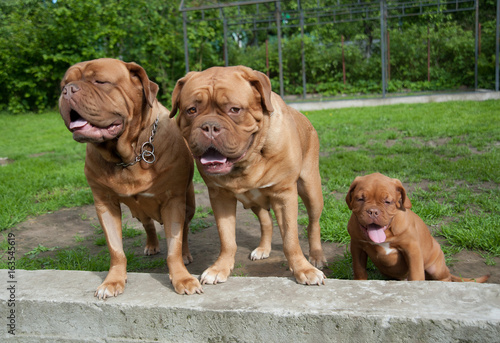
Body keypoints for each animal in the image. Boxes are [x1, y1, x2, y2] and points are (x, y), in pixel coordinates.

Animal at [60, 57, 203, 296]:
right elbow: (115, 249)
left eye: (100, 81)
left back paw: (185, 253)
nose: (68, 90)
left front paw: (182, 278)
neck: (129, 154)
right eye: (63, 84)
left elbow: (173, 247)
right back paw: (151, 244)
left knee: (183, 231)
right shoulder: (104, 204)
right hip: (140, 211)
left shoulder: (173, 200)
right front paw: (112, 281)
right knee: (148, 224)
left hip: (188, 204)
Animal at [171, 66, 328, 286]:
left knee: (313, 224)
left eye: (234, 109)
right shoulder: (220, 197)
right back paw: (263, 249)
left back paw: (317, 256)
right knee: (266, 221)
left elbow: (290, 239)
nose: (209, 126)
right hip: (255, 200)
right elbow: (227, 238)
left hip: (311, 189)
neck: (248, 161)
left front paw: (303, 269)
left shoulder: (284, 194)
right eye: (191, 110)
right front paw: (219, 268)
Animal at [348, 173, 488, 284]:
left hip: (436, 267)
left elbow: (416, 275)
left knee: (445, 278)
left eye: (387, 202)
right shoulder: (357, 246)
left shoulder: (412, 248)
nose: (373, 211)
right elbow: (359, 270)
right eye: (360, 199)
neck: (387, 233)